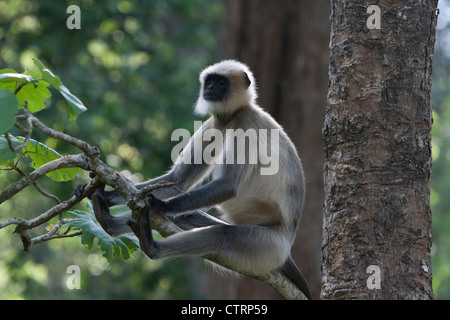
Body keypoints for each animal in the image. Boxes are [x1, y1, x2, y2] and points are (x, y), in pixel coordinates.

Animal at [74, 60, 312, 300]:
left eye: (221, 82)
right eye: (209, 81)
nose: (210, 88)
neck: (233, 116)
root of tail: (286, 247)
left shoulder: (247, 124)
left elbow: (228, 185)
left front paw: (161, 205)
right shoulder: (214, 124)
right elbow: (178, 181)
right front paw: (106, 194)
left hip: (266, 246)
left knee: (221, 236)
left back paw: (152, 247)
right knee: (187, 215)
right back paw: (108, 221)